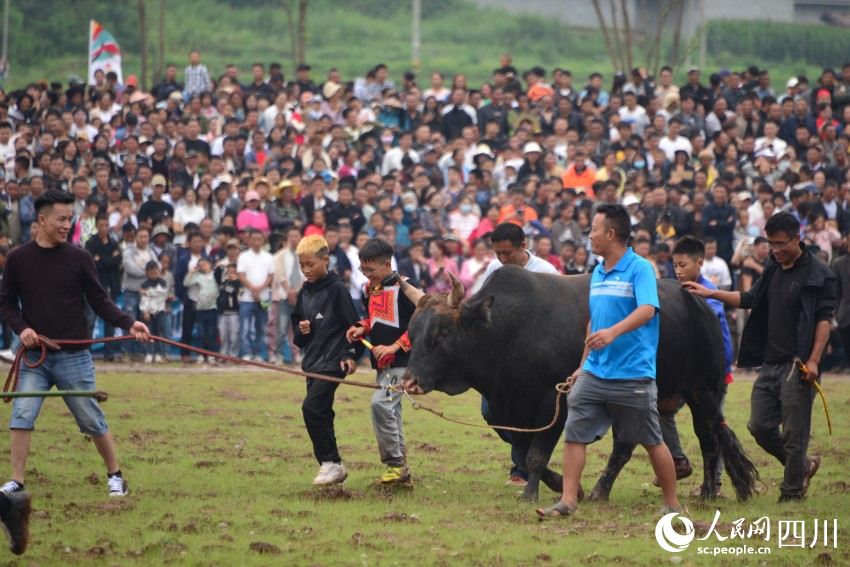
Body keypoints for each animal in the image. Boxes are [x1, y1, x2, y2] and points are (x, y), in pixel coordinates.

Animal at [400, 266, 760, 502]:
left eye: (443, 333)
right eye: (413, 332)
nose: (410, 381)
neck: (507, 331)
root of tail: (702, 304)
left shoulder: (553, 401)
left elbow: (535, 456)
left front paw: (531, 494)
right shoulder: (510, 413)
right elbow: (522, 453)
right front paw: (565, 486)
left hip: (704, 393)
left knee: (709, 440)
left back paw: (707, 494)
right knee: (625, 447)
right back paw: (600, 491)